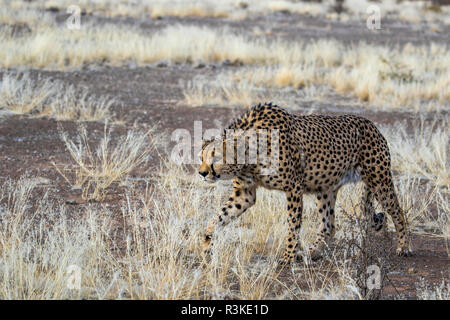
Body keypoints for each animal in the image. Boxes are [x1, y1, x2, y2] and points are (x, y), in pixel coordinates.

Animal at [197, 102, 412, 262]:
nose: (202, 173)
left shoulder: (293, 187)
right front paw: (206, 246)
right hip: (325, 188)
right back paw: (312, 252)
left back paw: (404, 246)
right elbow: (218, 218)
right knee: (328, 226)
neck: (250, 153)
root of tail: (371, 124)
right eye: (201, 157)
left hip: (379, 180)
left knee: (397, 211)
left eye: (216, 158)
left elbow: (293, 224)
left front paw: (288, 256)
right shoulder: (245, 194)